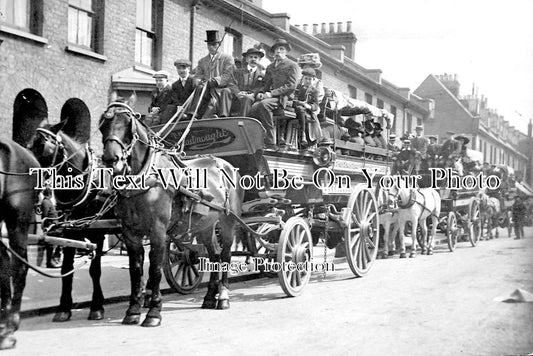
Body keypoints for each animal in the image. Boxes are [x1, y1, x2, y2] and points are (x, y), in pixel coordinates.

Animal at [28, 125, 109, 322]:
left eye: (44, 148)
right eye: (30, 145)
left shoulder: (98, 234)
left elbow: (95, 271)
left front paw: (97, 306)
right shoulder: (69, 233)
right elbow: (66, 269)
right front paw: (64, 307)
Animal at [99, 101, 243, 328]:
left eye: (127, 125)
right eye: (103, 126)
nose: (111, 158)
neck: (146, 177)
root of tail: (226, 164)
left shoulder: (158, 231)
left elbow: (155, 269)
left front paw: (153, 312)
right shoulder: (130, 233)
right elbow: (136, 271)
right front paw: (133, 311)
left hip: (228, 221)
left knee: (226, 255)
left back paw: (223, 297)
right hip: (205, 225)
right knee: (214, 255)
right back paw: (209, 297)